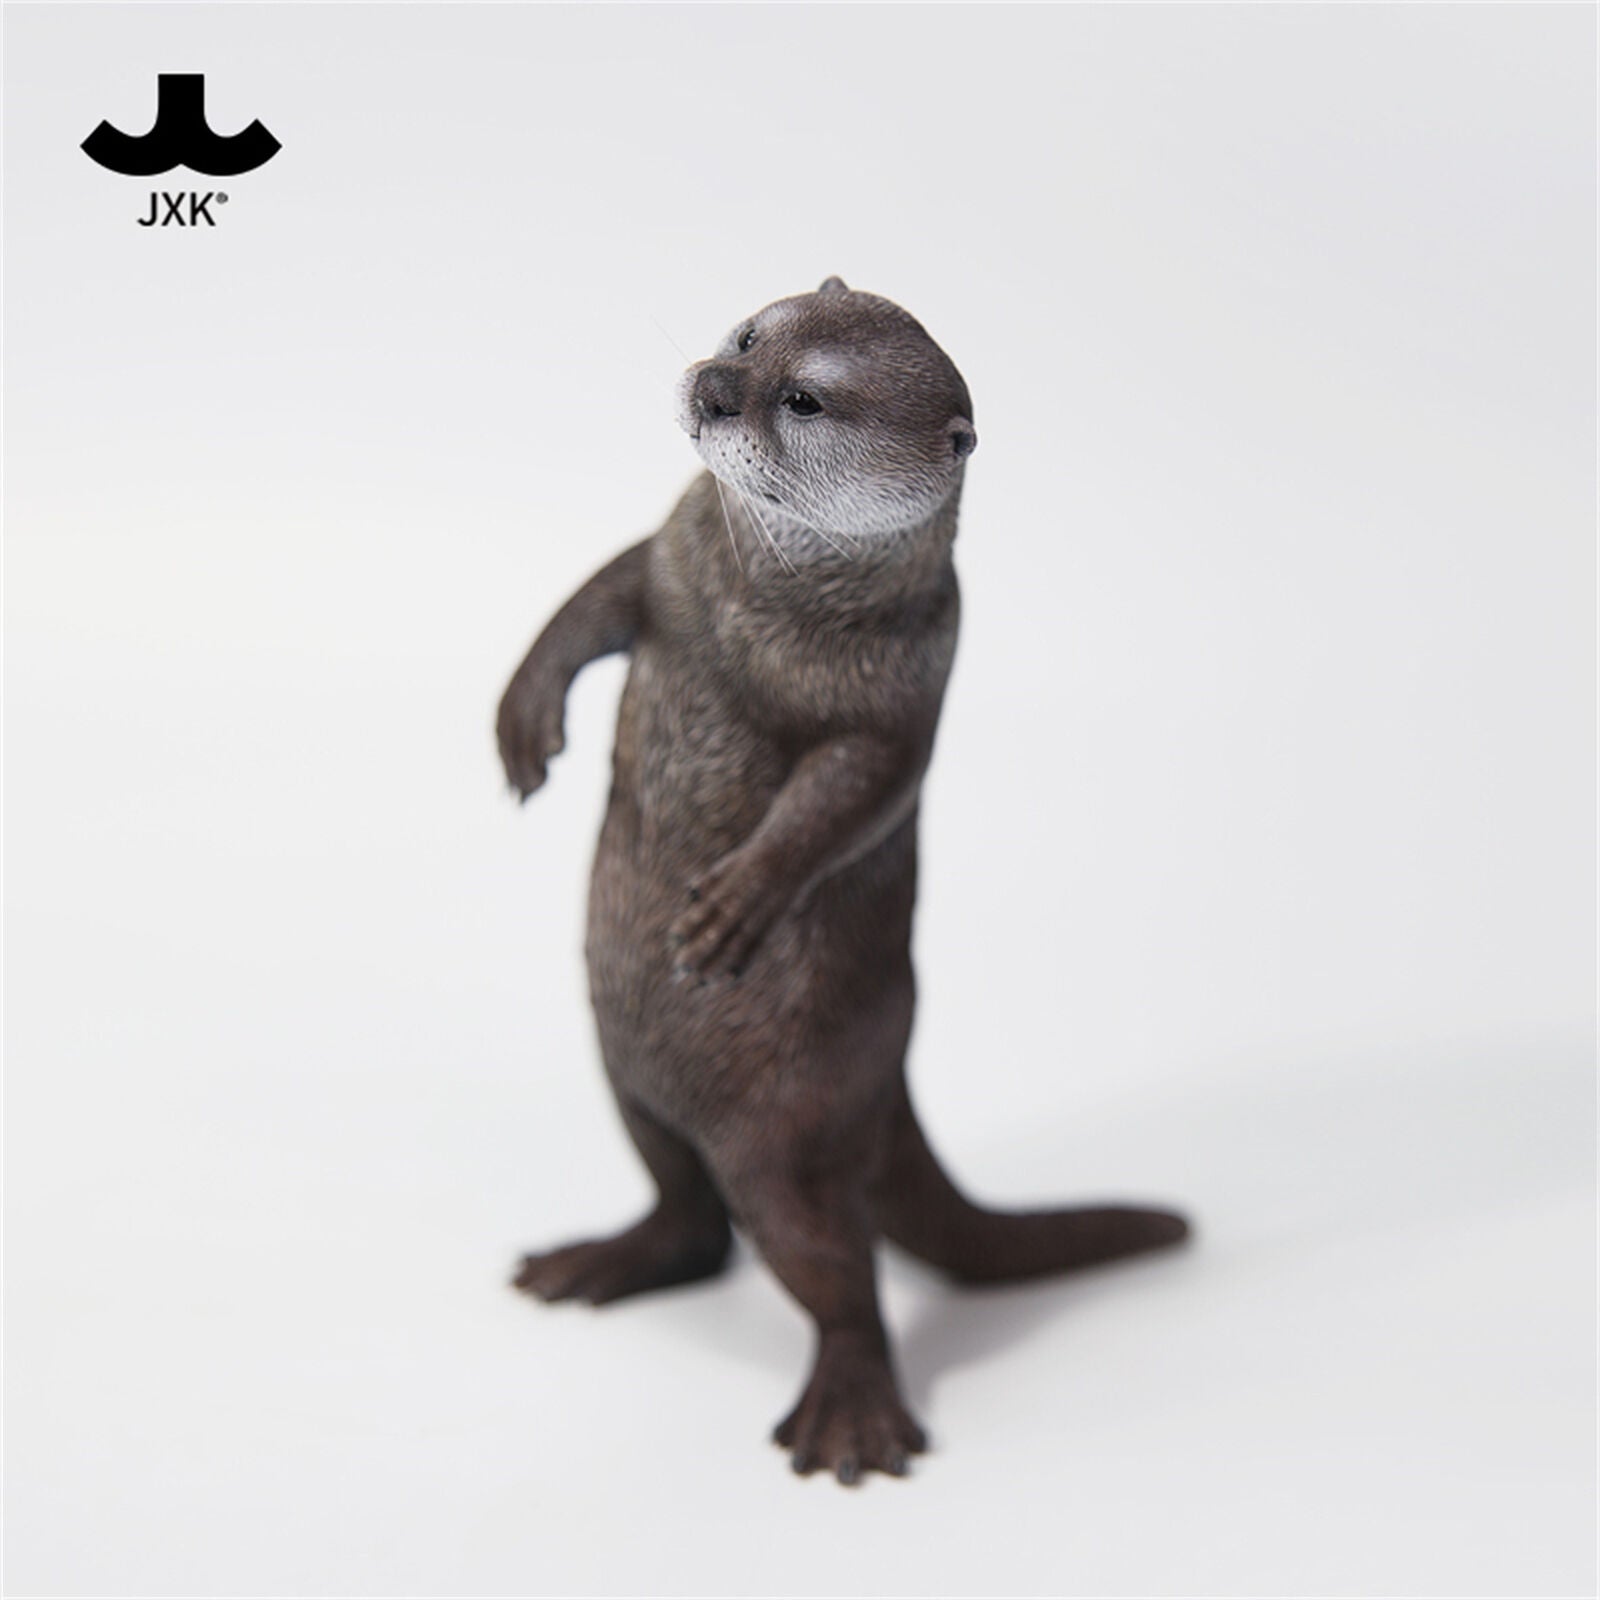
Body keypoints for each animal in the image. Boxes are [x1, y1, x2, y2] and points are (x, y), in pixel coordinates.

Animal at [496, 278, 1190, 1484]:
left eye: (806, 400)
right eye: (745, 335)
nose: (714, 387)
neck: (762, 613)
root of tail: (889, 1085)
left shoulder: (905, 680)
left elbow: (851, 791)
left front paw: (734, 905)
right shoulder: (673, 556)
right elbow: (594, 597)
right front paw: (523, 719)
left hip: (788, 1132)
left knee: (833, 1271)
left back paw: (849, 1416)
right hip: (626, 1077)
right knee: (687, 1212)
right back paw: (597, 1261)